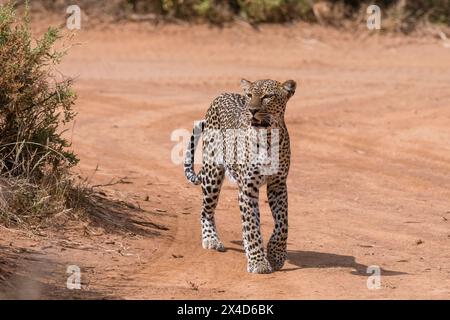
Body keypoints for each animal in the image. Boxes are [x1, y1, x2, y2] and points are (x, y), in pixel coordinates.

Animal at [185, 79, 298, 274]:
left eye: (267, 96)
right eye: (250, 95)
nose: (252, 110)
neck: (268, 138)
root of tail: (221, 95)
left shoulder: (278, 185)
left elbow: (282, 223)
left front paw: (275, 254)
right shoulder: (247, 188)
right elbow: (251, 226)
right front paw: (258, 262)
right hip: (212, 174)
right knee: (206, 210)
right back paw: (211, 239)